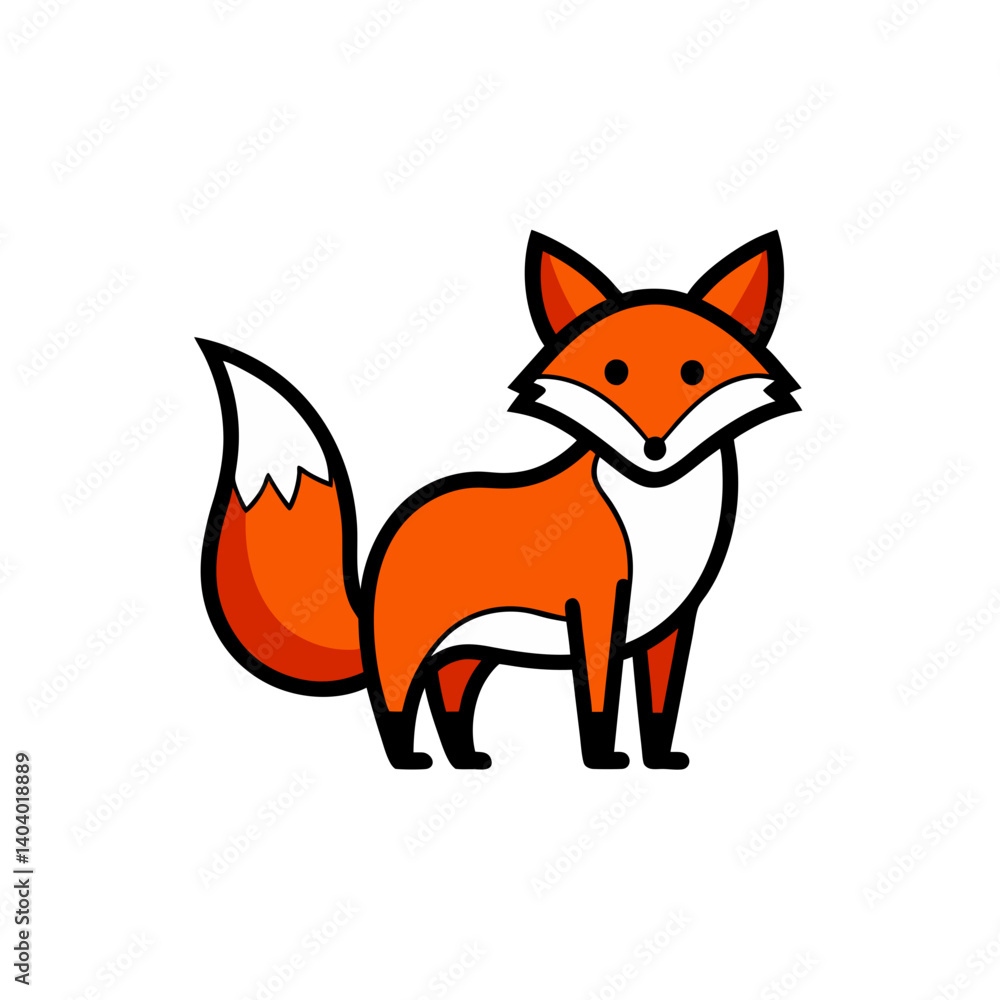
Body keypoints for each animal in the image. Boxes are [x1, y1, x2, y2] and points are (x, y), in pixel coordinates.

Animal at [197, 231, 799, 770]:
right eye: (615, 373)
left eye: (694, 372)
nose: (656, 448)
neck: (659, 508)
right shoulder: (597, 610)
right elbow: (598, 704)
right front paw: (604, 761)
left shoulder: (672, 624)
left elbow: (659, 708)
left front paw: (662, 760)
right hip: (410, 646)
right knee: (393, 703)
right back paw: (409, 761)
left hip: (470, 654)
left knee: (449, 703)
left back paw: (466, 760)